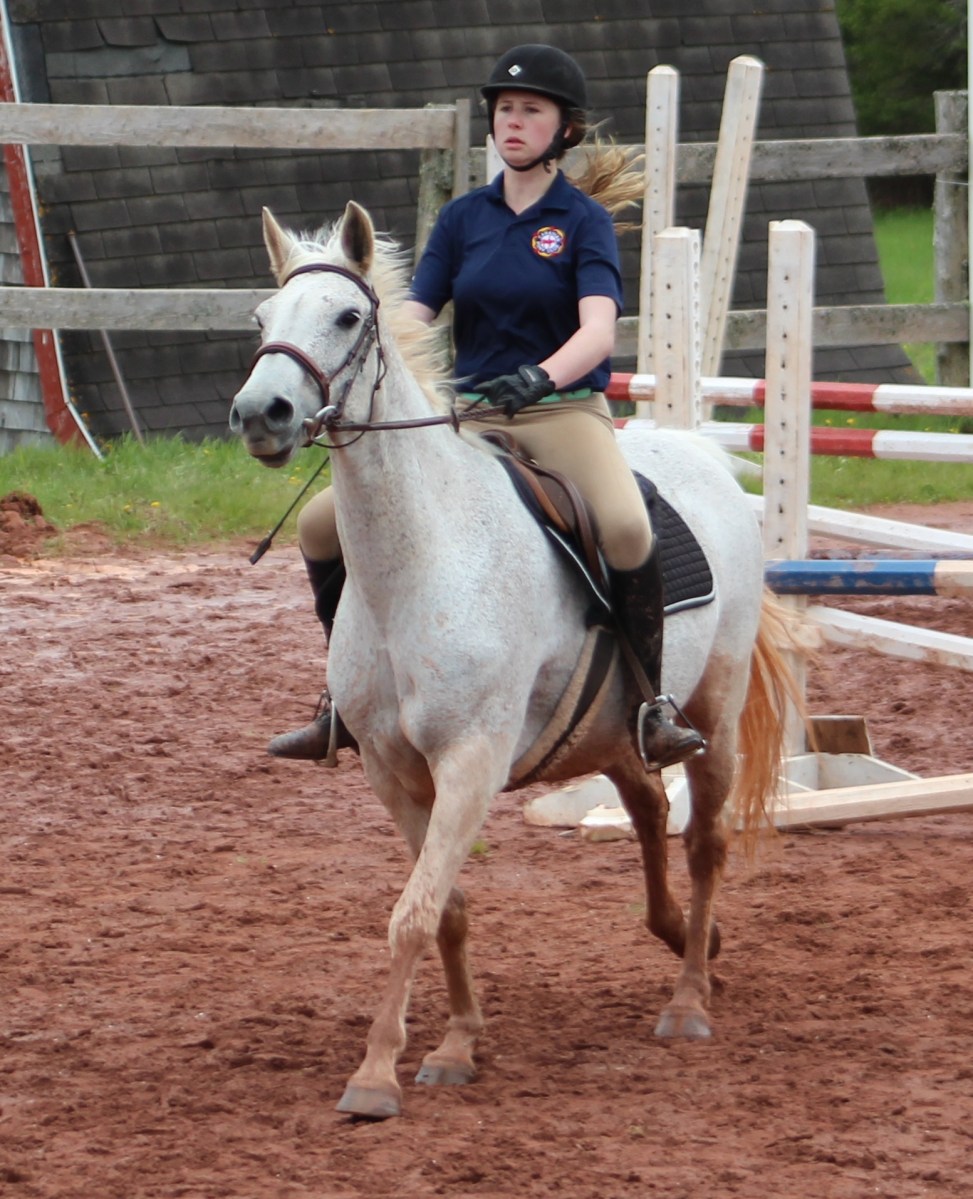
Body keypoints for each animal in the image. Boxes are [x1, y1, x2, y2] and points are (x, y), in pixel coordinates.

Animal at [229, 200, 792, 1120]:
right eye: (262, 319)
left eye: (346, 317)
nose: (261, 413)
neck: (418, 560)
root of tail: (701, 452)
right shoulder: (391, 770)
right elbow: (445, 905)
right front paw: (457, 1043)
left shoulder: (470, 759)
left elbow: (414, 911)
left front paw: (375, 1074)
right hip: (610, 726)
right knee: (646, 804)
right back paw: (684, 931)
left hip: (714, 701)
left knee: (702, 838)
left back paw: (688, 995)